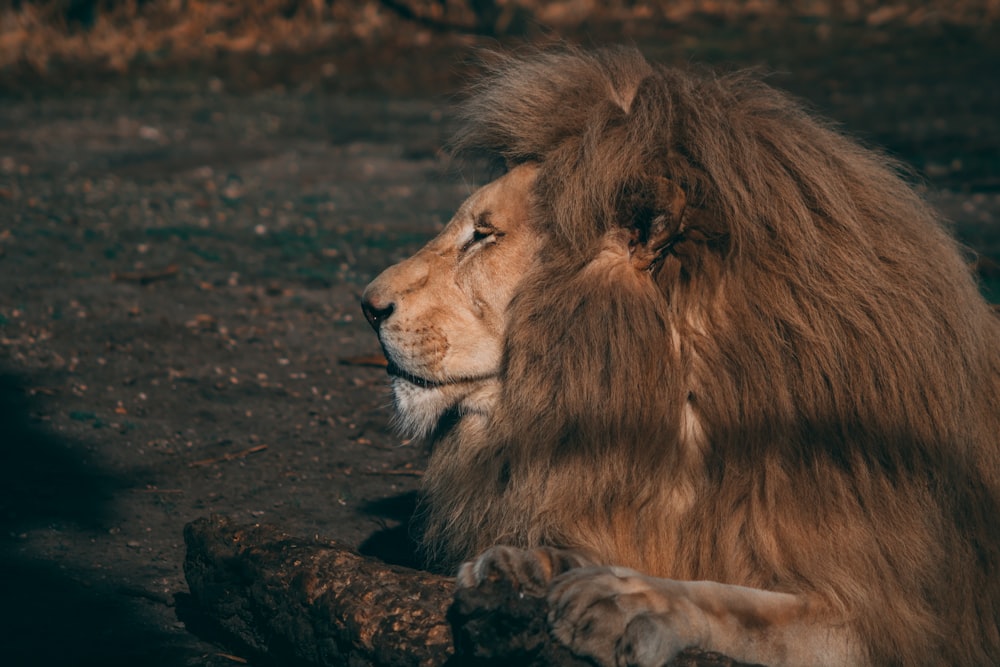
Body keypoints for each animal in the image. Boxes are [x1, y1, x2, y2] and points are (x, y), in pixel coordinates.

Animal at [362, 48, 1000, 667]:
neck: (667, 409)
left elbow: (740, 604)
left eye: (484, 235)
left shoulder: (895, 615)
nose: (367, 305)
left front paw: (629, 599)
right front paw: (529, 563)